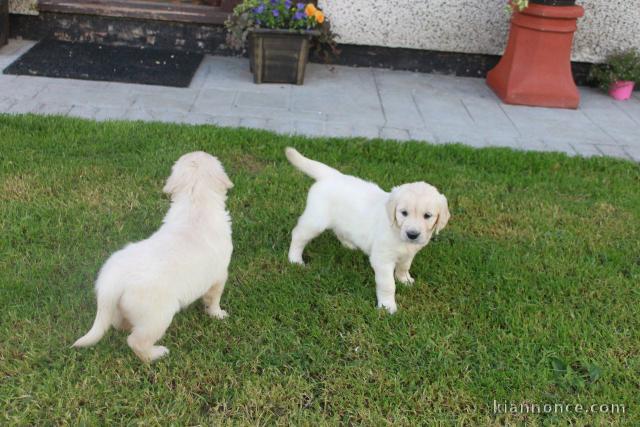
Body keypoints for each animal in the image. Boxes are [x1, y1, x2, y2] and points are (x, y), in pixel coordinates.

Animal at [73, 152, 232, 362]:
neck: (195, 202)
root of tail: (111, 281)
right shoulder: (219, 275)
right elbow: (214, 298)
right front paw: (218, 314)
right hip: (157, 316)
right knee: (136, 341)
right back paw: (156, 353)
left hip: (120, 307)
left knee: (117, 322)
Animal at [284, 148, 450, 314]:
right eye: (404, 213)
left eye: (427, 216)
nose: (412, 234)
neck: (397, 231)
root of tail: (332, 175)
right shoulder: (382, 259)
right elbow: (388, 285)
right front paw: (387, 306)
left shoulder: (409, 253)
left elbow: (404, 266)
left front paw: (405, 280)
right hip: (316, 220)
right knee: (298, 235)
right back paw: (295, 259)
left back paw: (348, 245)